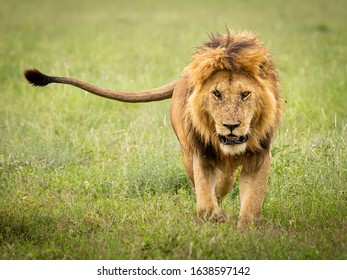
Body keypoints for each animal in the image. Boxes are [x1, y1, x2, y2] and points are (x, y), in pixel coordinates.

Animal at [24, 30, 286, 230]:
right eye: (217, 93)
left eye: (245, 94)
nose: (231, 126)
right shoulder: (200, 154)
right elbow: (205, 202)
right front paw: (216, 218)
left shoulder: (259, 157)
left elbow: (251, 203)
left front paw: (244, 232)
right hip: (187, 152)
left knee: (226, 179)